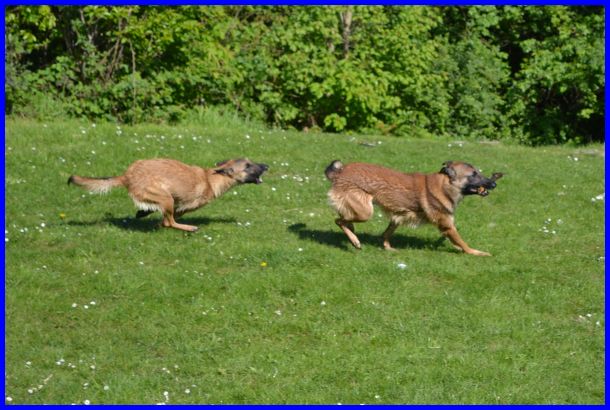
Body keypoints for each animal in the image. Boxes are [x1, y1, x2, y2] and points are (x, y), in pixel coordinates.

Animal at [68, 158, 268, 232]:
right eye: (248, 166)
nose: (266, 166)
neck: (210, 178)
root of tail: (126, 175)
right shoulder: (185, 206)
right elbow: (173, 215)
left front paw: (143, 213)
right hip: (167, 198)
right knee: (169, 222)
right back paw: (189, 228)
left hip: (165, 198)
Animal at [325, 160, 502, 255]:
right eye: (473, 175)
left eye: (478, 172)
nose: (494, 184)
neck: (444, 185)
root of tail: (339, 172)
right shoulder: (447, 226)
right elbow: (463, 244)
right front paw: (477, 253)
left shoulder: (399, 215)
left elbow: (386, 234)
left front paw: (388, 248)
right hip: (365, 212)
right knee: (338, 221)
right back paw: (355, 241)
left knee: (344, 219)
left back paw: (352, 234)